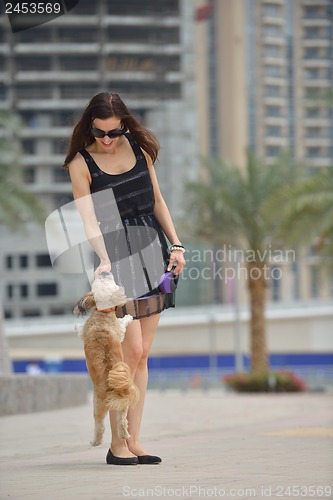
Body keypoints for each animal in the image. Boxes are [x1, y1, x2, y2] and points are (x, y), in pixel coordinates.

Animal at [72, 272, 139, 448]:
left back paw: (95, 441)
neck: (102, 314)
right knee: (122, 422)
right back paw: (124, 435)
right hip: (123, 406)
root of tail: (114, 389)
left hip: (97, 405)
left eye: (106, 280)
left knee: (99, 426)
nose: (104, 272)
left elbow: (81, 329)